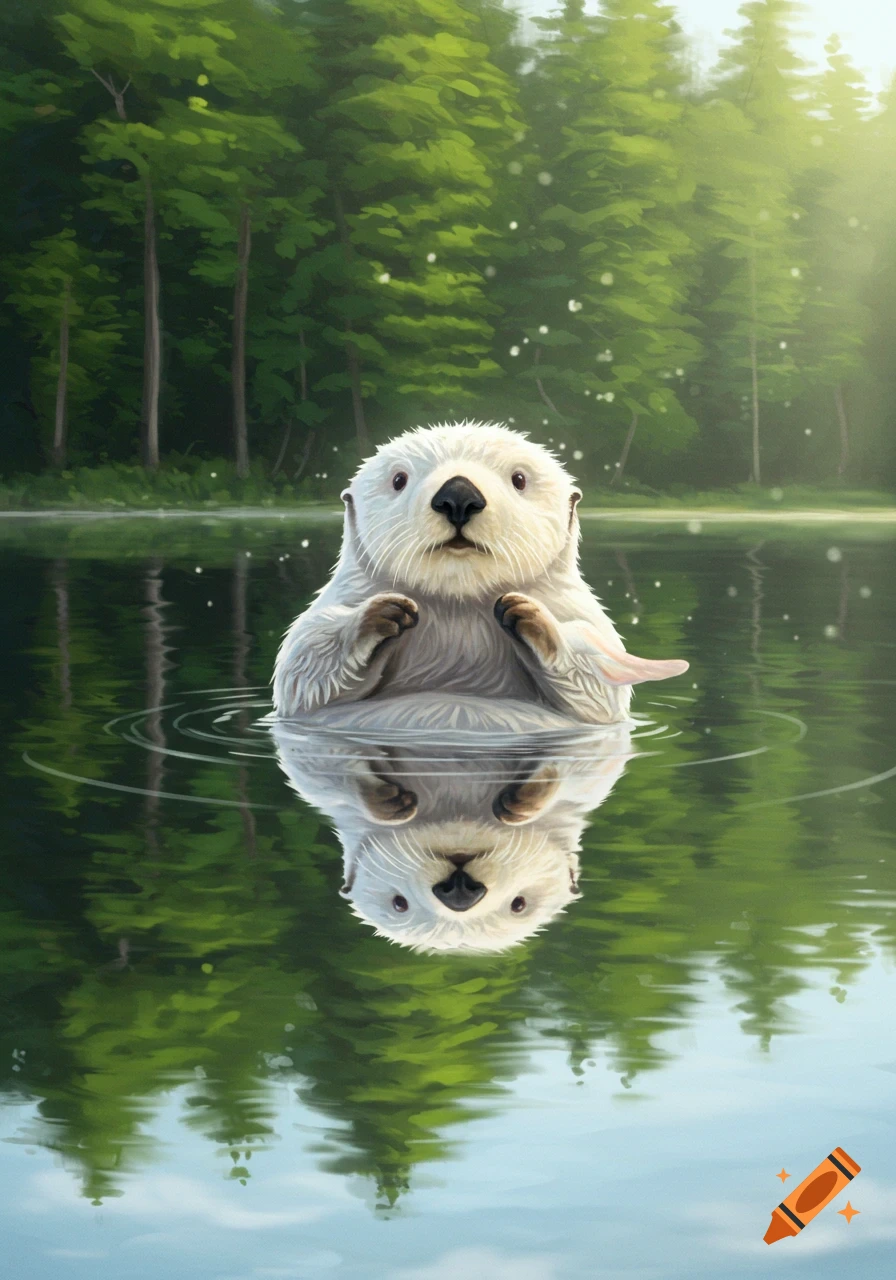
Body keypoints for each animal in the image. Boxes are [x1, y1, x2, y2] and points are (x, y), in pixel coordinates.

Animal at [272, 421, 688, 723]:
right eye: (399, 480)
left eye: (519, 479)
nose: (458, 496)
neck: (459, 604)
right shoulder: (348, 593)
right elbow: (303, 673)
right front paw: (379, 614)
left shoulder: (576, 608)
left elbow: (599, 690)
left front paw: (530, 617)